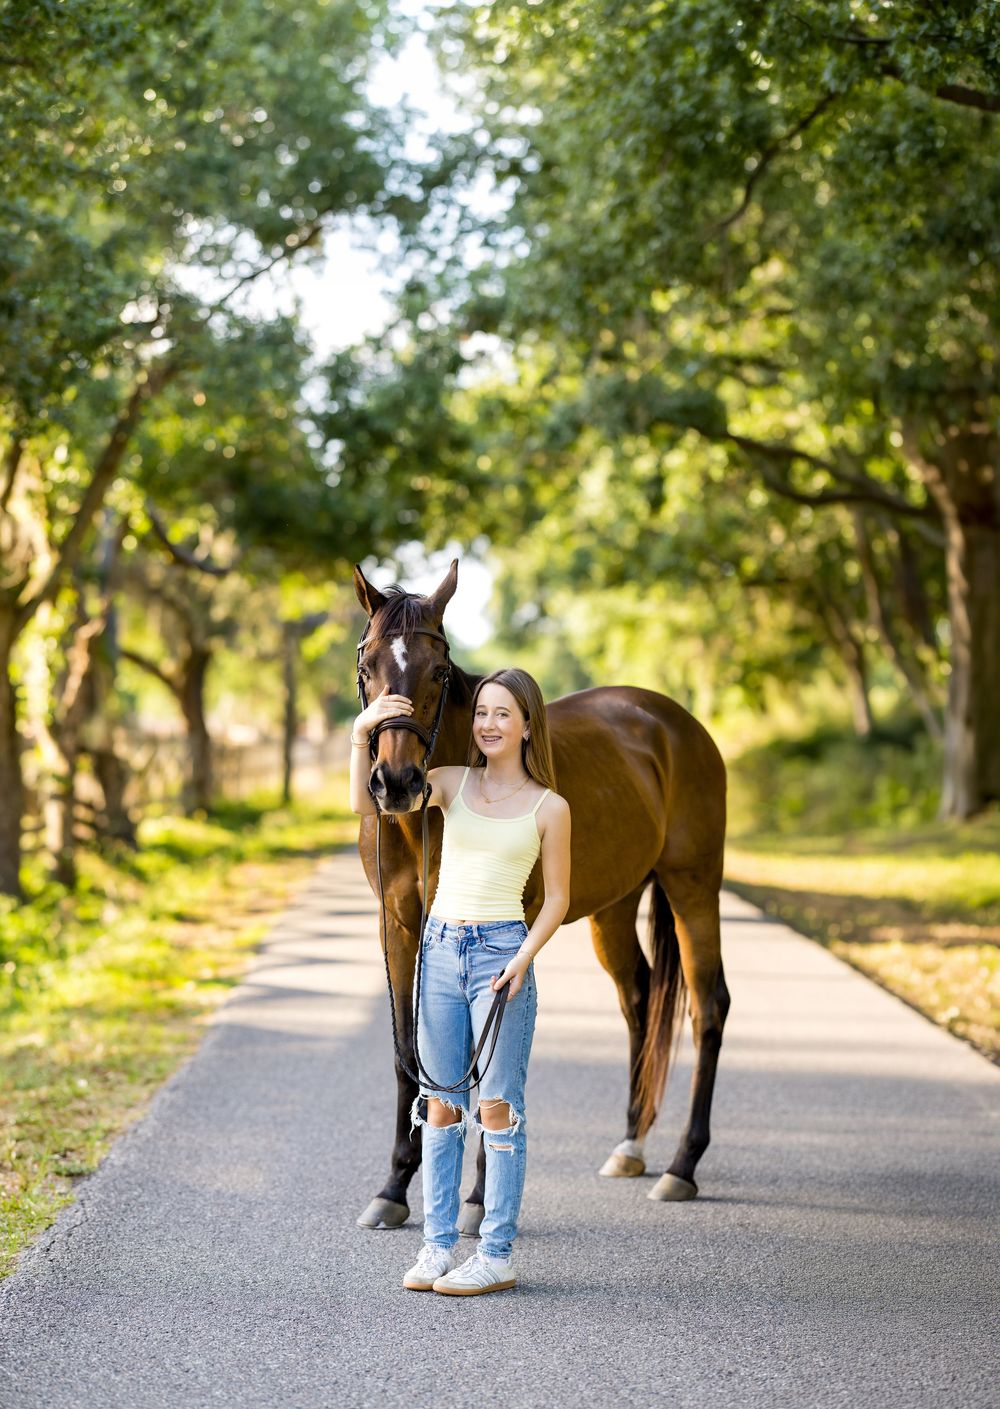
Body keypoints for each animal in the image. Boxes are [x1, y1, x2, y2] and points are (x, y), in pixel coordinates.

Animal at [353, 559, 729, 1232]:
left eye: (439, 671)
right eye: (368, 666)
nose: (396, 783)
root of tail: (674, 722)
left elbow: (493, 1053)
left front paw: (477, 1200)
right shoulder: (396, 922)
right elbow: (408, 1057)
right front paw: (393, 1188)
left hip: (694, 885)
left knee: (708, 1005)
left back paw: (682, 1167)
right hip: (614, 907)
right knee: (639, 998)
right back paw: (630, 1146)